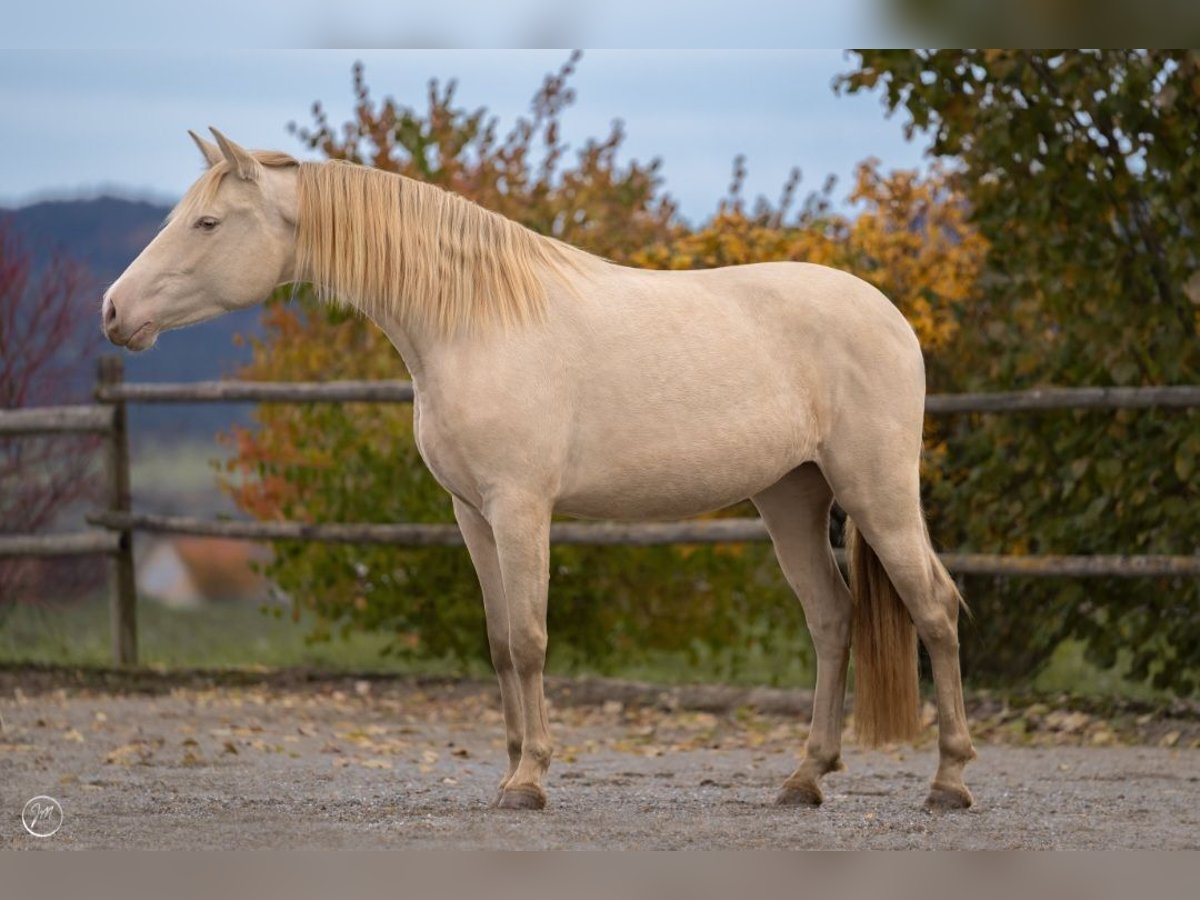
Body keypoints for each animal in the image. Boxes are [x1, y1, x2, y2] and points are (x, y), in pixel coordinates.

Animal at [103, 130, 974, 816]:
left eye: (208, 222)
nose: (114, 312)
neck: (474, 321)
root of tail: (889, 314)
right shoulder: (472, 513)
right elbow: (496, 642)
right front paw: (510, 769)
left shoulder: (521, 508)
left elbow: (527, 639)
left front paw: (530, 781)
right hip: (791, 497)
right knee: (831, 619)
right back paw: (805, 778)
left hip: (876, 490)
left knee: (934, 607)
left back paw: (950, 782)